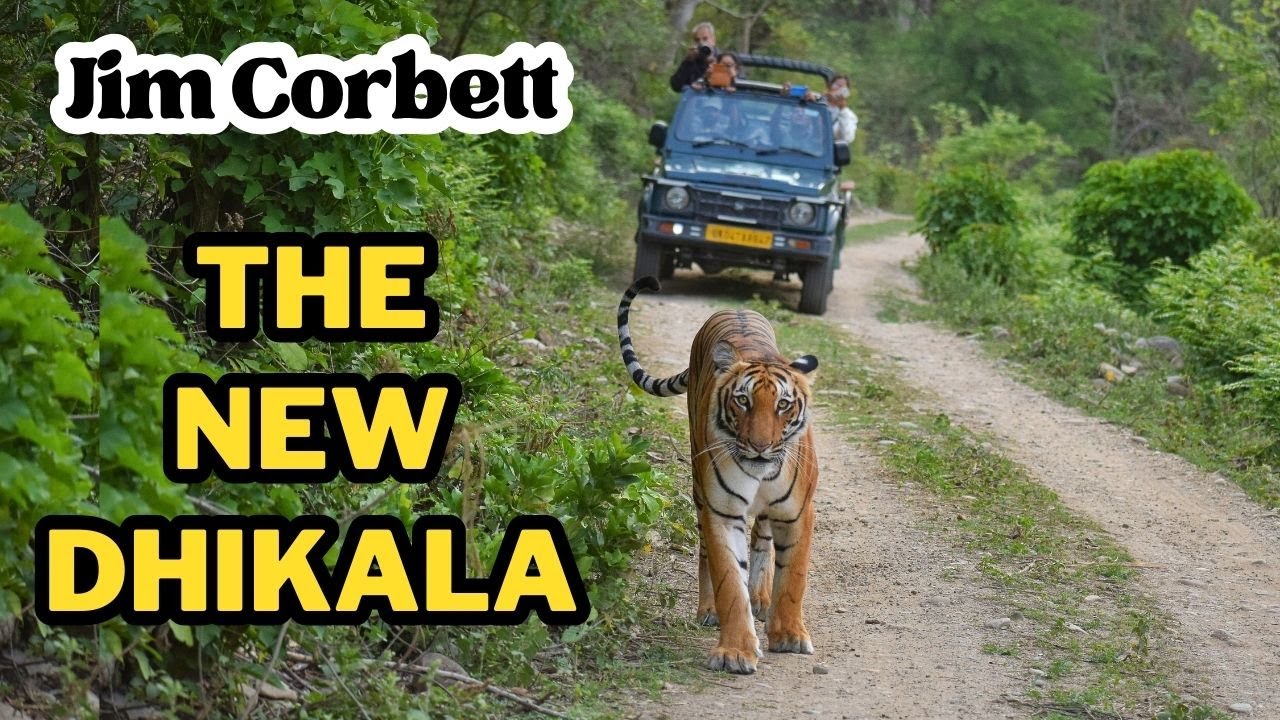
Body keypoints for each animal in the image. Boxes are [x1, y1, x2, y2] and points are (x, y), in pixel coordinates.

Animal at [617, 276, 820, 675]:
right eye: (743, 401)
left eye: (783, 405)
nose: (760, 446)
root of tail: (733, 308)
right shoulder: (722, 511)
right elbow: (729, 580)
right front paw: (735, 652)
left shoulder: (798, 513)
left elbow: (793, 577)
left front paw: (788, 635)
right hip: (699, 489)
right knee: (705, 553)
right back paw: (709, 610)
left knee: (762, 538)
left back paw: (761, 598)